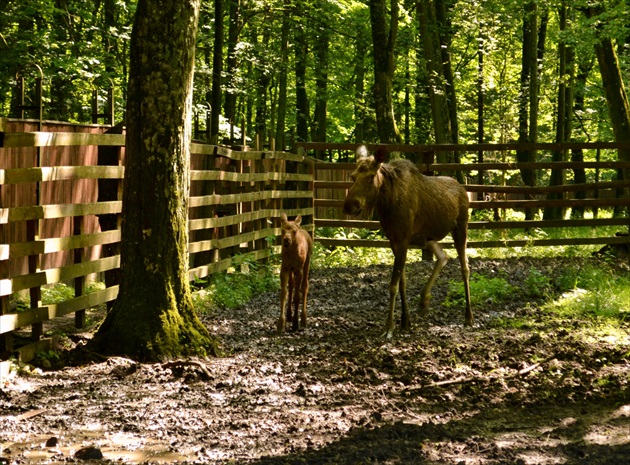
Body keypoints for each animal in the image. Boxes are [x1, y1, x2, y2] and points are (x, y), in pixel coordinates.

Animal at [344, 145, 472, 338]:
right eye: (353, 176)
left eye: (371, 176)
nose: (349, 205)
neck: (386, 203)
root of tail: (464, 190)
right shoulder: (394, 240)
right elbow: (402, 283)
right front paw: (405, 322)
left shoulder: (403, 239)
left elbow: (393, 285)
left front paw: (389, 327)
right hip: (428, 238)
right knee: (443, 256)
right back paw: (423, 301)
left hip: (460, 228)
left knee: (465, 267)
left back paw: (468, 317)